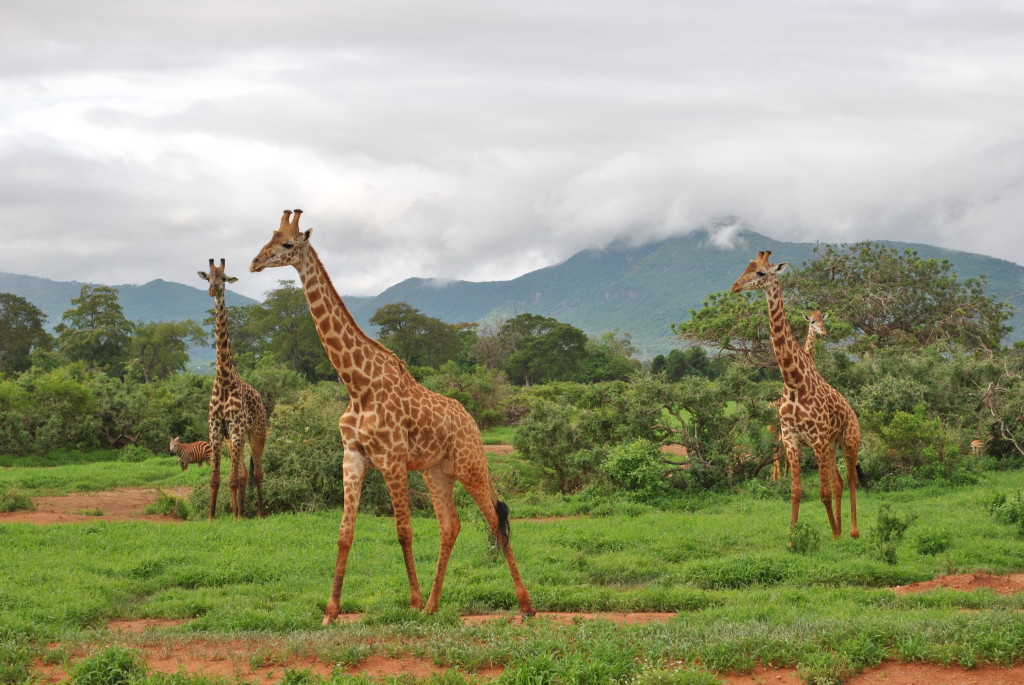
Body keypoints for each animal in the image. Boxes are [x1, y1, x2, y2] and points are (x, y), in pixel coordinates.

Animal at [197, 255, 266, 518]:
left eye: (225, 278)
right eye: (208, 276)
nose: (213, 289)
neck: (224, 379)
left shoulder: (236, 428)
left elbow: (233, 479)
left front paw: (235, 519)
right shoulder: (216, 429)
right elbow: (216, 479)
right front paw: (211, 517)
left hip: (257, 432)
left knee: (258, 472)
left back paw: (258, 514)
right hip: (237, 439)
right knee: (245, 473)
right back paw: (243, 512)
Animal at [249, 209, 536, 626]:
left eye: (287, 243)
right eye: (268, 237)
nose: (254, 262)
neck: (357, 384)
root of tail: (471, 420)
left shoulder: (392, 459)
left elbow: (403, 531)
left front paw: (411, 602)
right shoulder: (353, 457)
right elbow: (344, 534)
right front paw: (330, 612)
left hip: (470, 463)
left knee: (495, 519)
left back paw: (525, 606)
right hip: (436, 471)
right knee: (451, 525)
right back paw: (434, 605)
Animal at [733, 250, 860, 540]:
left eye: (761, 272)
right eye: (746, 267)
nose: (734, 287)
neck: (793, 382)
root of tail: (853, 412)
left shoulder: (817, 438)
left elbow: (823, 492)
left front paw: (832, 536)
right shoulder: (792, 438)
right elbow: (796, 491)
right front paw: (793, 539)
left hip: (849, 440)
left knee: (850, 479)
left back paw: (852, 532)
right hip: (830, 444)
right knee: (838, 481)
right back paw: (841, 529)